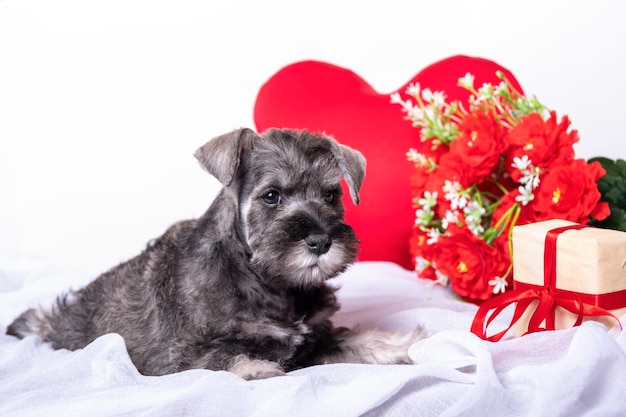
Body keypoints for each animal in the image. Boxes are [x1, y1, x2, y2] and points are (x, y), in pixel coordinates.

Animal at [6, 128, 424, 378]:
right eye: (271, 196)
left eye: (331, 194)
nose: (321, 241)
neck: (269, 283)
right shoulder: (177, 354)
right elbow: (223, 357)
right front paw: (260, 370)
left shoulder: (315, 336)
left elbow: (352, 340)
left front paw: (399, 345)